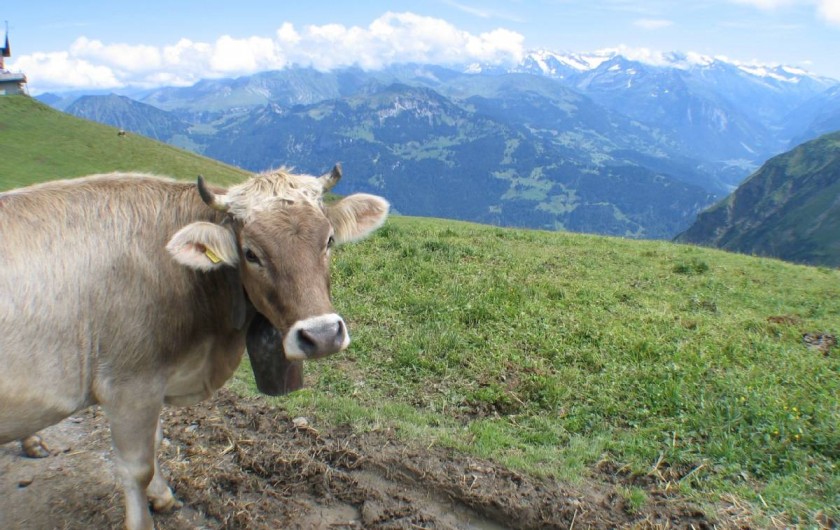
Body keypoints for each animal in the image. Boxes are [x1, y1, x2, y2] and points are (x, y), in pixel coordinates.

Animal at [0, 165, 388, 530]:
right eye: (251, 254)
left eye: (329, 240)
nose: (321, 335)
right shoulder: (128, 386)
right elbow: (136, 468)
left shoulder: (153, 381)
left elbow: (157, 442)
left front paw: (162, 496)